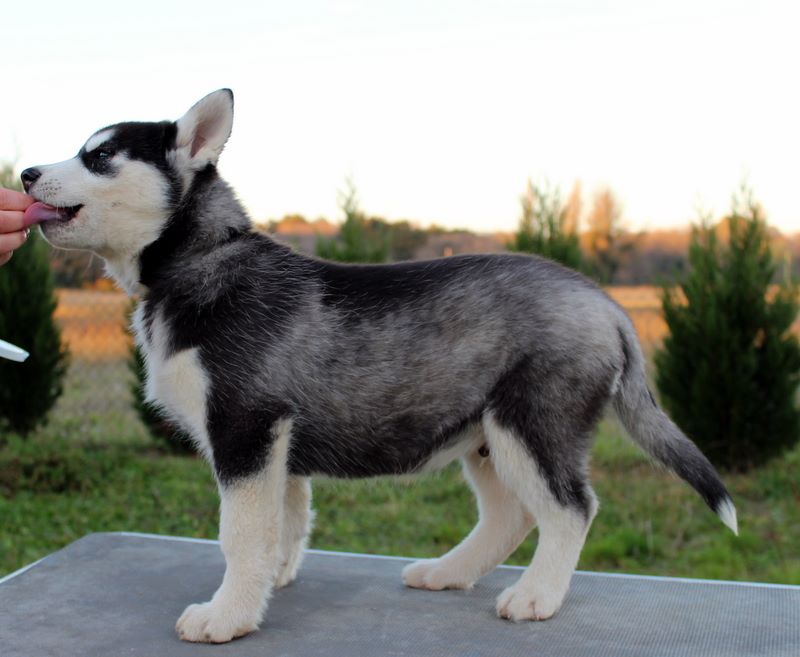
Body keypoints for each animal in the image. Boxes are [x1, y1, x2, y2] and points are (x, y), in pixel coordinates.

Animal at [21, 89, 737, 644]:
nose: (25, 173)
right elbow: (282, 522)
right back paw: (448, 572)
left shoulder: (246, 426)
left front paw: (226, 616)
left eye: (100, 156)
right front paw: (267, 585)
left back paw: (537, 597)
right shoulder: (275, 443)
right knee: (511, 515)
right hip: (485, 436)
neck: (199, 262)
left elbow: (239, 533)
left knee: (570, 508)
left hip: (532, 423)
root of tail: (607, 302)